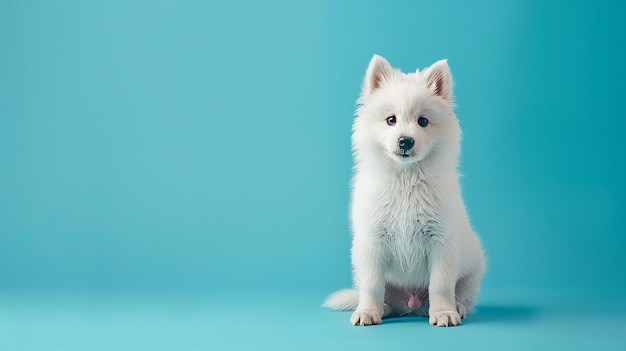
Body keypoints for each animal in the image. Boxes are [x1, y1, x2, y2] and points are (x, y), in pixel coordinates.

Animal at [324, 54, 486, 328]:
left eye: (423, 121)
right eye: (391, 120)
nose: (405, 141)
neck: (406, 179)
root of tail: (412, 305)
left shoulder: (441, 241)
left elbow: (441, 284)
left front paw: (443, 313)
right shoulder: (372, 241)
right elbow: (372, 285)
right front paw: (367, 312)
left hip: (473, 266)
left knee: (462, 292)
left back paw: (458, 307)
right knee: (384, 295)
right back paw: (384, 308)